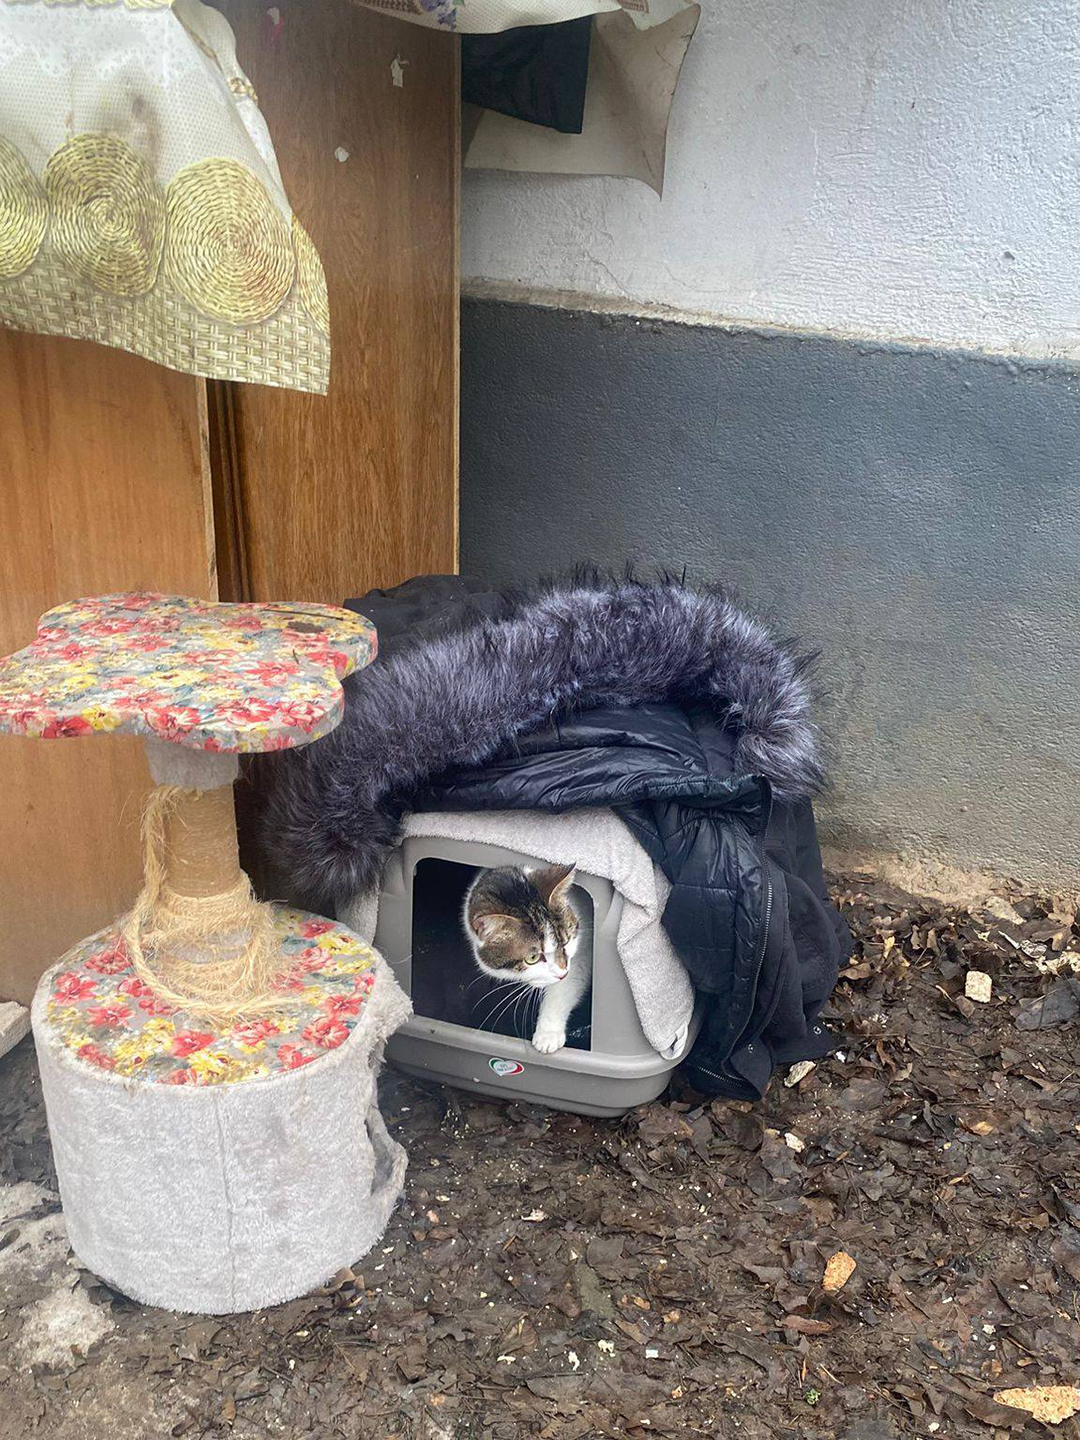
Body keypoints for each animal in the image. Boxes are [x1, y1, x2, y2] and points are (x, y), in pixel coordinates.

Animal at [463, 863, 591, 1054]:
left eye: (566, 941)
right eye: (532, 958)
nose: (562, 972)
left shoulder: (581, 957)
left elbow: (562, 990)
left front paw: (548, 1034)